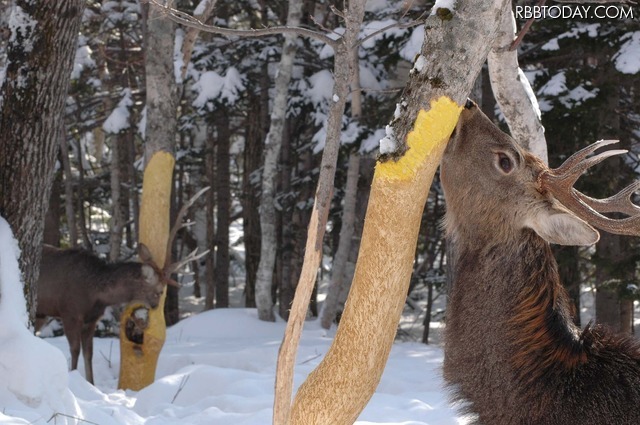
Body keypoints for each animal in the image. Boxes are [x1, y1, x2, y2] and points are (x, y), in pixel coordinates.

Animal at [35, 187, 208, 382]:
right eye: (159, 291)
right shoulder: (69, 312)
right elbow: (75, 350)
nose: (156, 306)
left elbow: (89, 354)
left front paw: (91, 383)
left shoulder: (92, 319)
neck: (95, 293)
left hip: (40, 313)